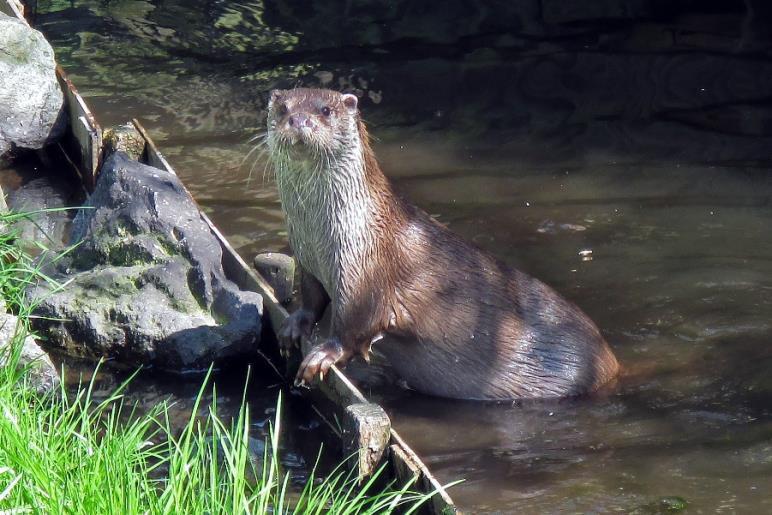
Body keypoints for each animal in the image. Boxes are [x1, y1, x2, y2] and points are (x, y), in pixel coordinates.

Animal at [268, 87, 620, 404]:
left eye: (326, 110)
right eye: (283, 108)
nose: (299, 121)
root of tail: (611, 363)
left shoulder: (367, 274)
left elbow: (355, 327)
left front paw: (323, 355)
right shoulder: (309, 262)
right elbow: (312, 298)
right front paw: (294, 325)